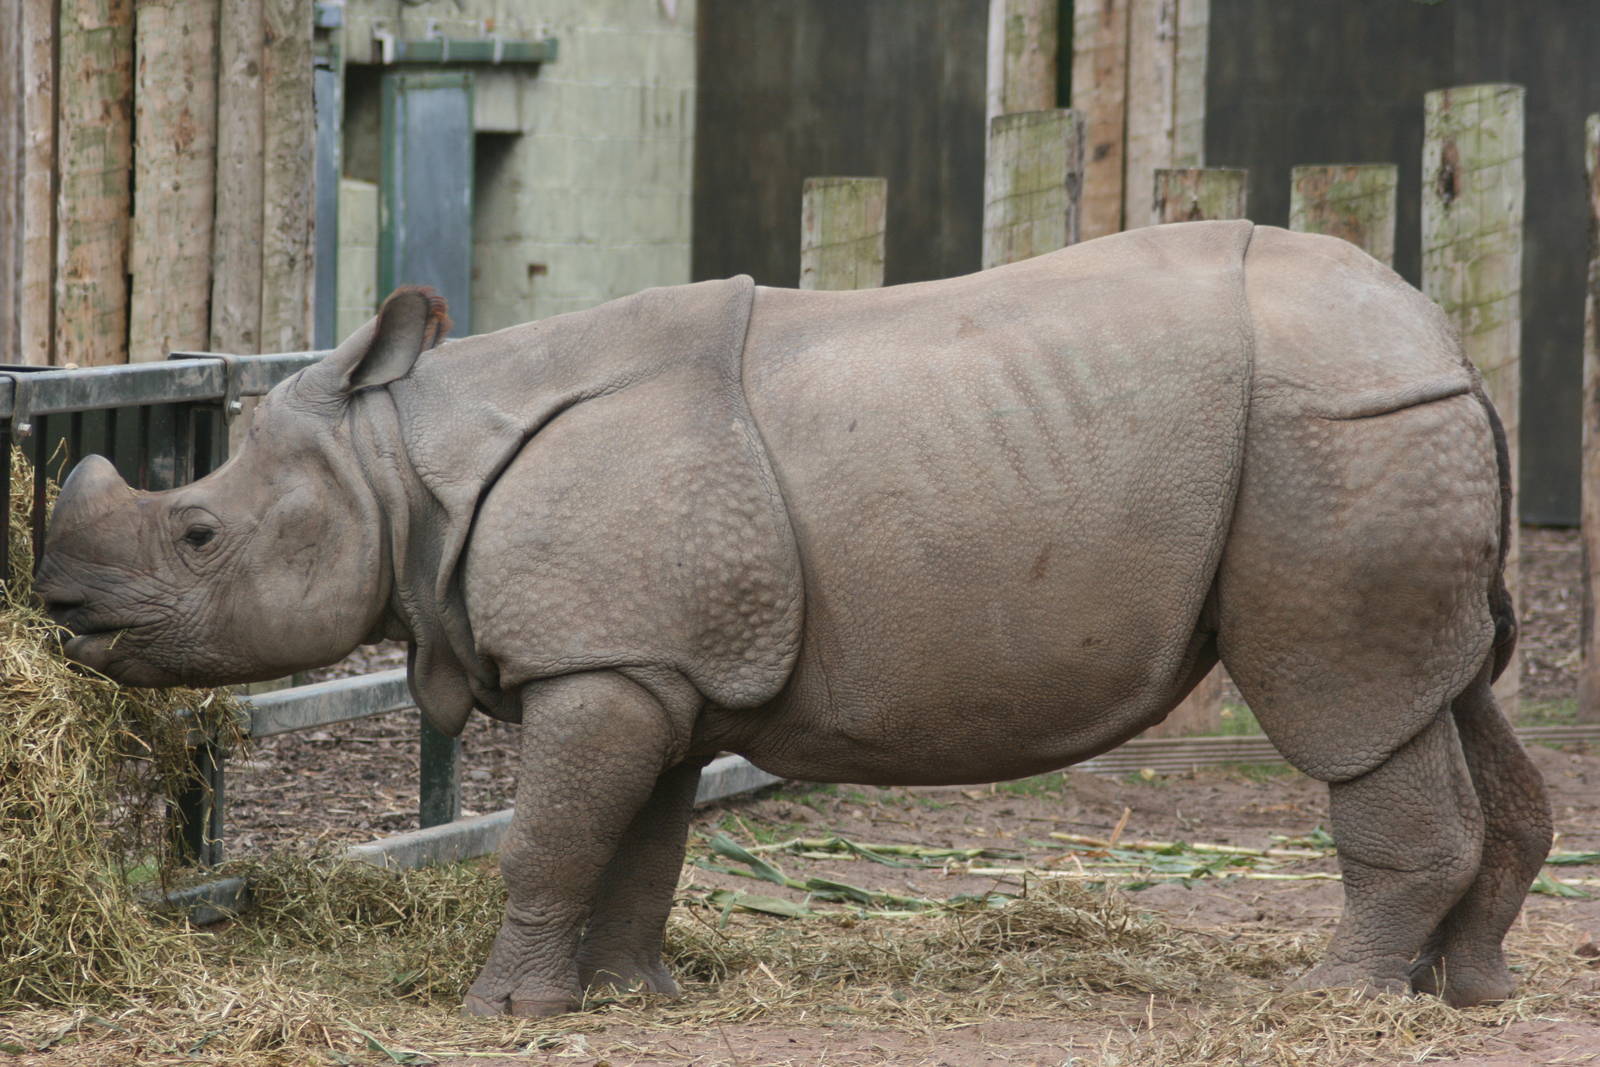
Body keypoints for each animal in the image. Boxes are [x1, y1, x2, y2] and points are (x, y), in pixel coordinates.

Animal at [36, 221, 1550, 1015]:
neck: (403, 454)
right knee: (1454, 692)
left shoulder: (609, 656)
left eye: (198, 533)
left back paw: (1334, 998)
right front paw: (630, 997)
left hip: (1332, 434)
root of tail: (1446, 341)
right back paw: (1465, 985)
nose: (59, 608)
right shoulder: (651, 658)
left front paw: (498, 1012)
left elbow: (545, 839)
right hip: (1387, 429)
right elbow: (636, 843)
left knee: (1348, 712)